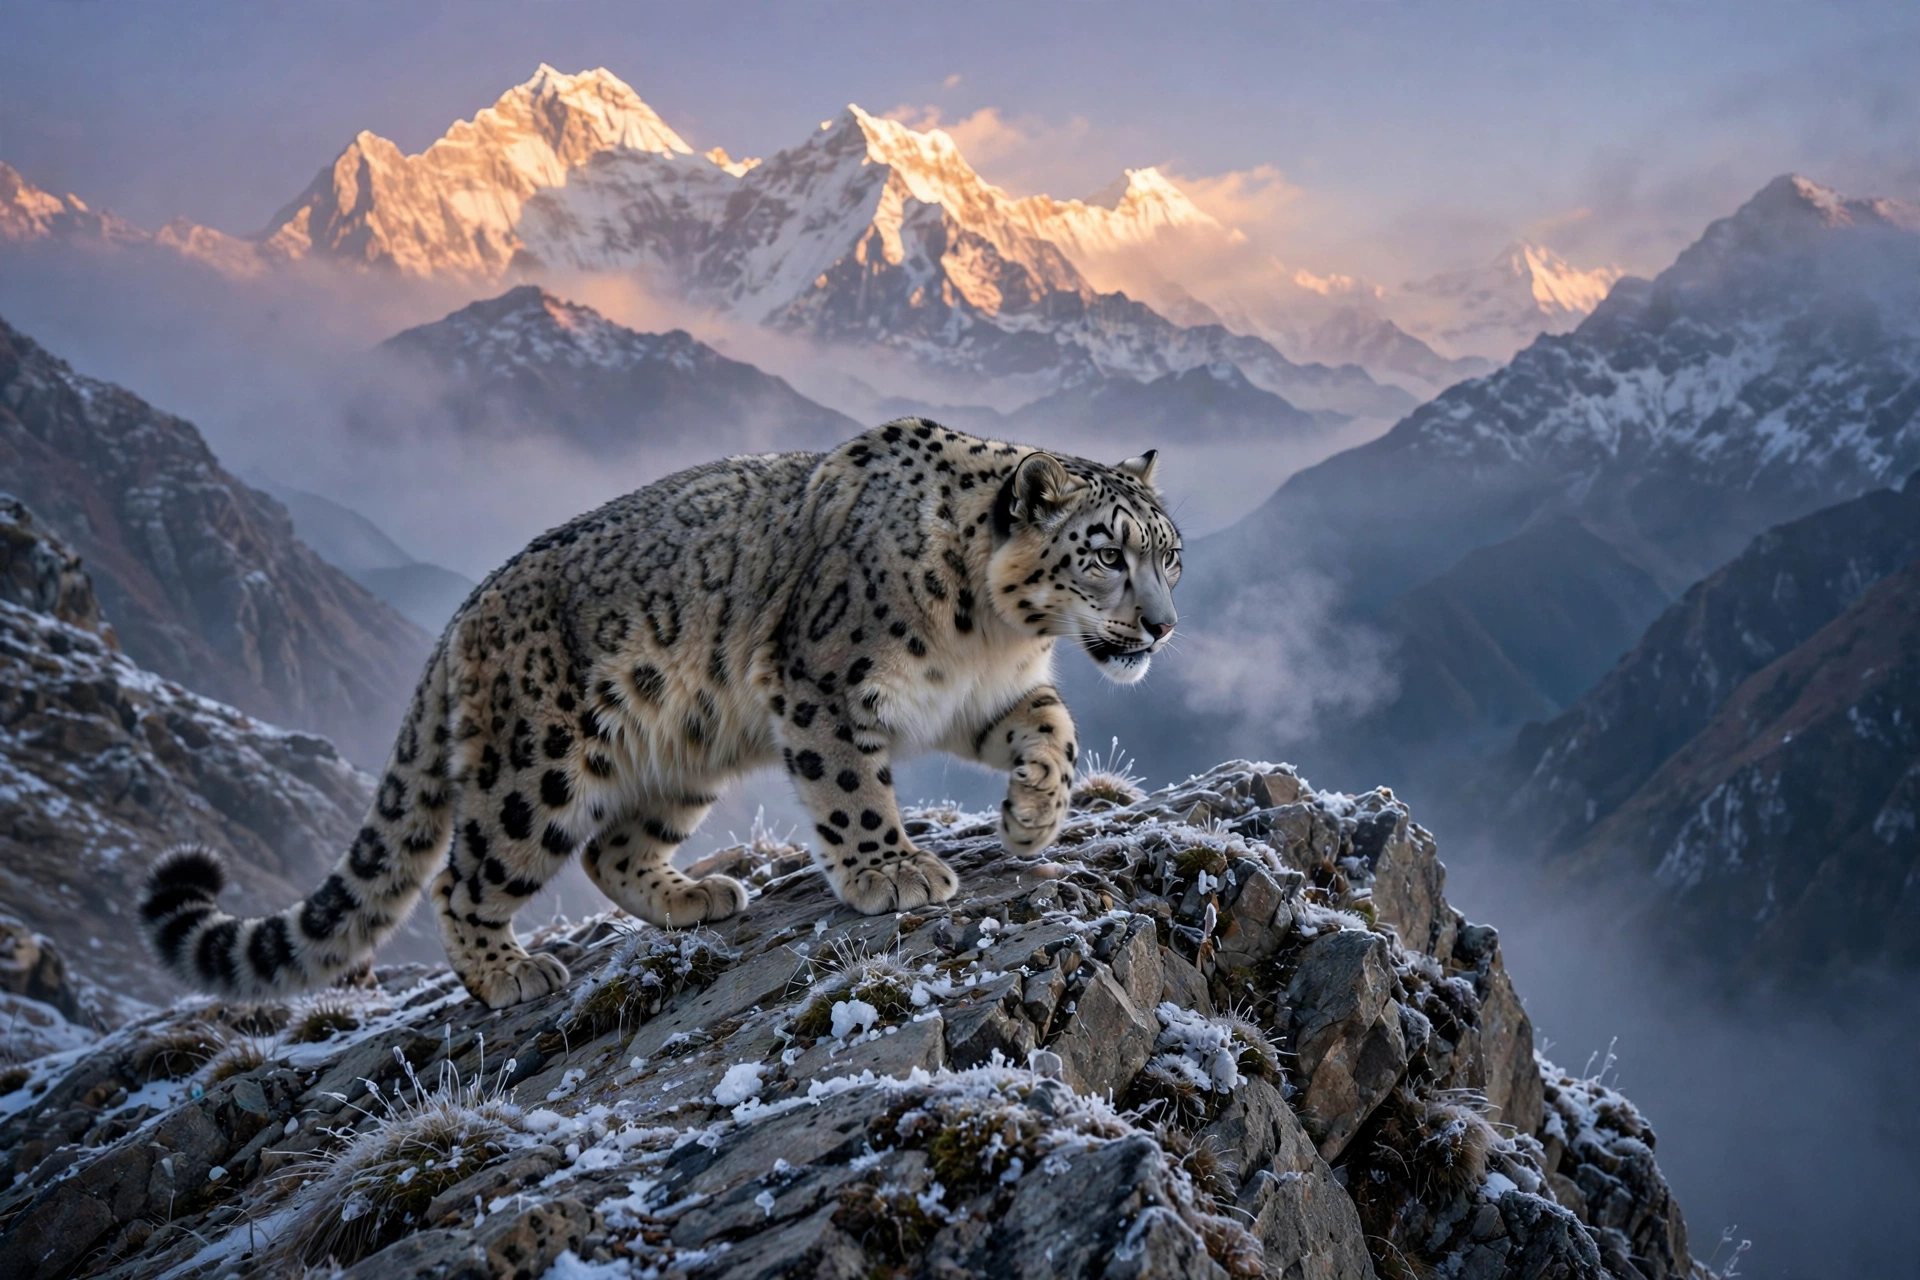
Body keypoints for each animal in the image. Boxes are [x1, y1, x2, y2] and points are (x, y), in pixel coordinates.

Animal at [139, 420, 1181, 1010]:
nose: (1163, 627)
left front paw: (1033, 817)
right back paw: (506, 973)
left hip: (680, 753)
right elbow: (851, 788)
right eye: (1106, 554)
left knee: (613, 849)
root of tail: (462, 620)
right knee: (468, 875)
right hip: (537, 769)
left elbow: (1055, 728)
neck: (992, 634)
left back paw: (695, 897)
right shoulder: (824, 684)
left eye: (1170, 555)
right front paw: (892, 872)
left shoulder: (983, 697)